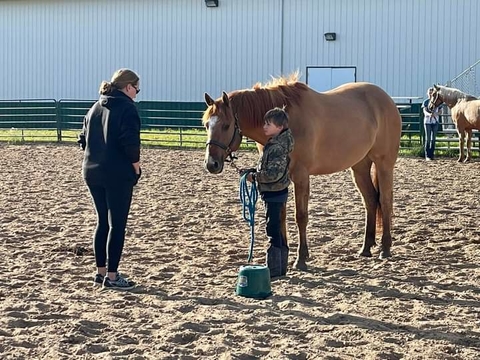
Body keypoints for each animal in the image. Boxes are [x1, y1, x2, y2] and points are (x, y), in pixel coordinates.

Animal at [202, 77, 402, 272]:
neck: (289, 125)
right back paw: (366, 248)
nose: (211, 164)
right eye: (206, 125)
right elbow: (281, 215)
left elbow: (301, 216)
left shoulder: (301, 176)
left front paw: (301, 259)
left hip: (384, 164)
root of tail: (387, 100)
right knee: (370, 200)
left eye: (226, 125)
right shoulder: (281, 178)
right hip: (359, 166)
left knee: (385, 201)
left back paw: (385, 249)